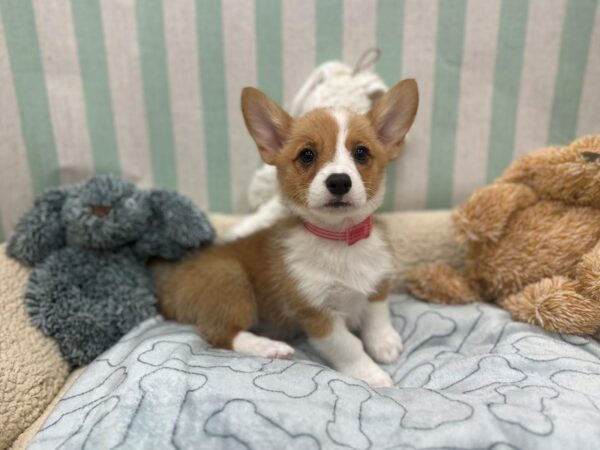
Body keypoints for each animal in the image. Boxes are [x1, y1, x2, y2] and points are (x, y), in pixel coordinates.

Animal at [152, 78, 420, 386]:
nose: (339, 182)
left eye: (361, 153)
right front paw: (372, 375)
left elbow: (377, 313)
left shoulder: (378, 281)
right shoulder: (317, 313)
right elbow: (348, 346)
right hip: (232, 280)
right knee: (221, 334)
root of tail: (169, 286)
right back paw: (269, 346)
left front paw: (384, 342)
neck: (340, 240)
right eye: (307, 155)